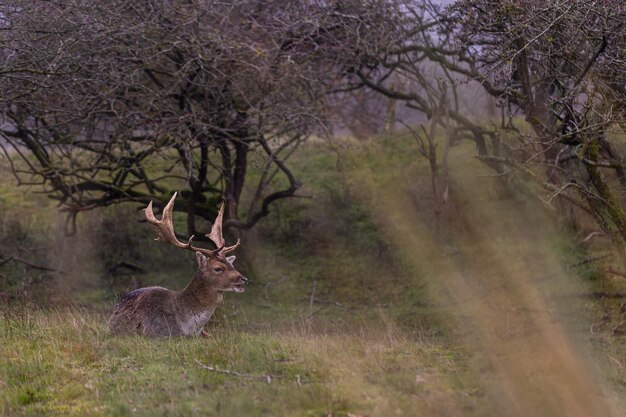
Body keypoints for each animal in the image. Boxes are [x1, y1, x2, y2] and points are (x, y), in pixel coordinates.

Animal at [107, 193, 246, 336]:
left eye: (232, 265)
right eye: (218, 268)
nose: (244, 279)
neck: (187, 326)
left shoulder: (203, 333)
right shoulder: (155, 333)